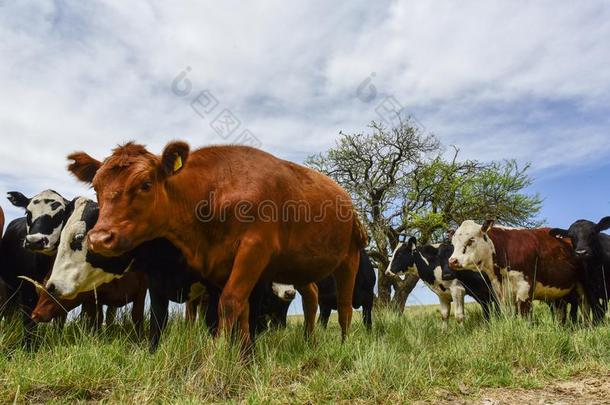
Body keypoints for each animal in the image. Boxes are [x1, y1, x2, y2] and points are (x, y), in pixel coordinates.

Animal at [52, 140, 364, 346]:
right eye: (97, 187)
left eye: (145, 185)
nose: (99, 238)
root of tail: (344, 197)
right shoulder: (218, 266)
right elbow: (239, 310)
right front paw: (242, 354)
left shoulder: (254, 250)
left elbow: (229, 304)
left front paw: (219, 357)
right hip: (299, 266)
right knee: (311, 296)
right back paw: (310, 341)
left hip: (350, 257)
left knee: (345, 305)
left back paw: (344, 345)